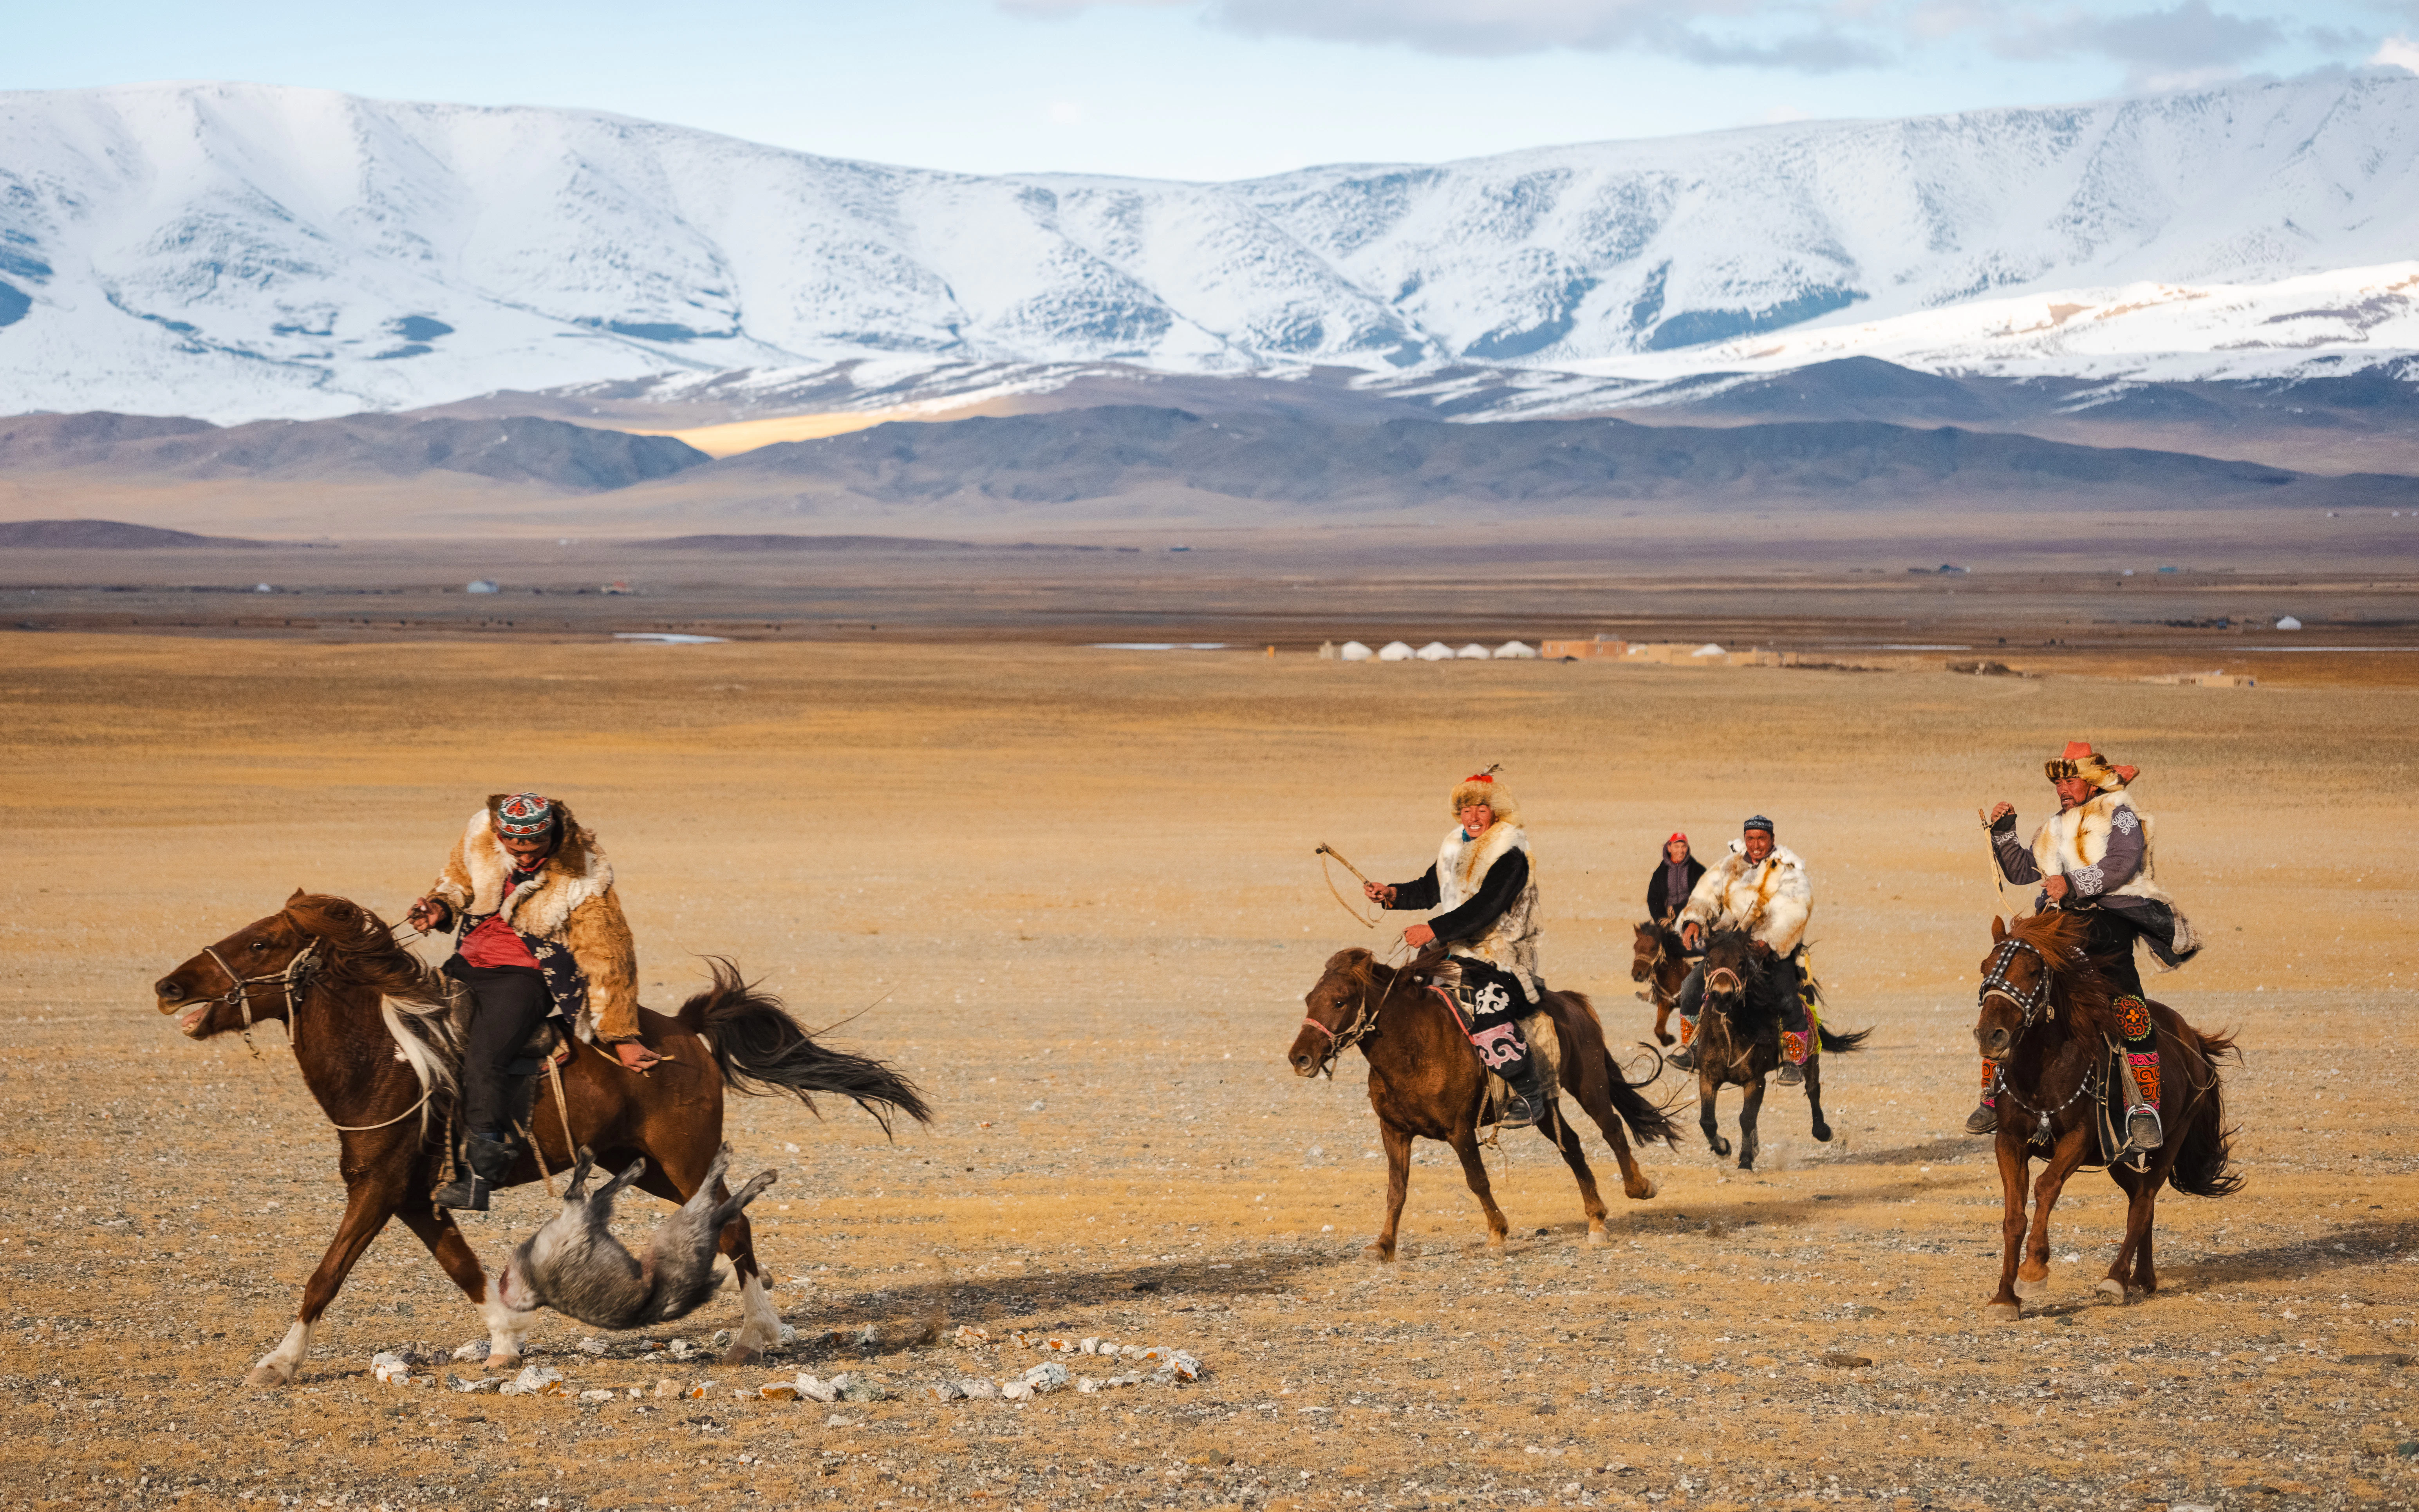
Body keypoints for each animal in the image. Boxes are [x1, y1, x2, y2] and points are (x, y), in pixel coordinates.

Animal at [151, 891, 930, 1386]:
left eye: (261, 941)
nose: (168, 985)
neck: (391, 1060)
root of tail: (685, 1030)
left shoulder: (378, 1189)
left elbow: (327, 1274)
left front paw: (278, 1364)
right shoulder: (414, 1195)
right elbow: (461, 1266)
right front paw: (503, 1342)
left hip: (684, 1159)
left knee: (735, 1227)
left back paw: (756, 1335)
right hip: (643, 1164)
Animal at [1287, 947, 1679, 1259]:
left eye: (1340, 1000)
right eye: (1308, 999)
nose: (1300, 1058)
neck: (1413, 1047)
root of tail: (1572, 1002)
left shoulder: (1459, 1129)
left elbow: (1477, 1180)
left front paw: (1497, 1235)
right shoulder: (1394, 1131)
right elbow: (1396, 1190)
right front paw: (1383, 1246)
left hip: (1589, 1084)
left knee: (1611, 1127)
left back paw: (1639, 1187)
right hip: (1543, 1106)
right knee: (1571, 1144)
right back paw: (1596, 1220)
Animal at [1631, 919, 1691, 1046]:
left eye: (1653, 948)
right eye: (1635, 947)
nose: (1637, 974)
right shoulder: (1665, 1003)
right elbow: (1658, 1029)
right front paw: (1669, 1039)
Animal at [1687, 928, 1869, 1170]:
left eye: (1741, 962)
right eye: (1708, 961)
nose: (1722, 995)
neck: (1731, 1032)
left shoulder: (1755, 1080)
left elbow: (1746, 1118)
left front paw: (1745, 1162)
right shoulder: (1708, 1077)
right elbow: (1707, 1121)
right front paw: (1724, 1148)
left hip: (1811, 1056)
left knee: (1813, 1088)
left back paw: (1823, 1131)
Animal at [1973, 911, 2241, 1317]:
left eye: (2034, 971)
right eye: (1985, 967)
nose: (1991, 1036)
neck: (2043, 1071)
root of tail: (2192, 1042)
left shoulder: (2079, 1138)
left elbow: (2046, 1186)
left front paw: (2033, 1272)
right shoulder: (2009, 1141)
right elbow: (2013, 1216)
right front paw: (2005, 1297)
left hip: (2169, 1141)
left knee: (2144, 1201)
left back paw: (2116, 1279)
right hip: (2118, 1157)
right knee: (2140, 1198)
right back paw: (2142, 1278)